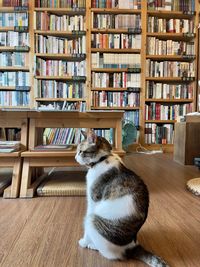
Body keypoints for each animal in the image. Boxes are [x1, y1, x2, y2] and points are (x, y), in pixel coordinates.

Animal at [75, 131, 169, 266]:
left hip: (92, 219)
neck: (103, 159)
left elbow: (86, 231)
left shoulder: (93, 202)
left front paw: (84, 241)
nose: (75, 157)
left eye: (81, 151)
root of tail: (131, 247)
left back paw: (92, 245)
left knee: (110, 255)